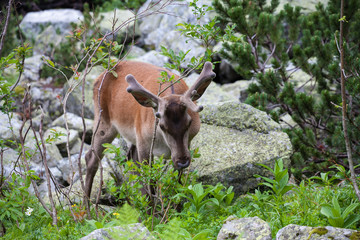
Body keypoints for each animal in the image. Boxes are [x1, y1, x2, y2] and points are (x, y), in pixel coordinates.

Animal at [84, 60, 215, 201]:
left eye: (189, 122)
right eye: (161, 125)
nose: (182, 162)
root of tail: (97, 79)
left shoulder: (187, 143)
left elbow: (177, 181)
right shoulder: (144, 141)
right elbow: (150, 180)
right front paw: (151, 206)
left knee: (131, 158)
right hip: (103, 120)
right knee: (91, 158)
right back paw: (86, 204)